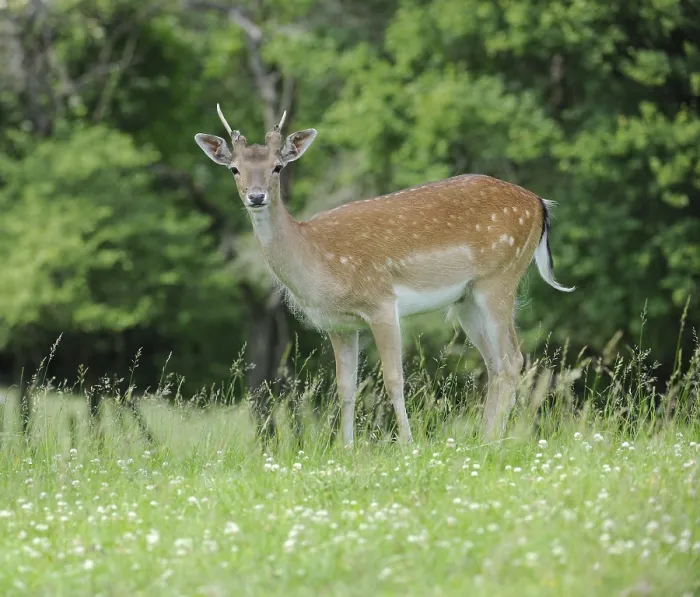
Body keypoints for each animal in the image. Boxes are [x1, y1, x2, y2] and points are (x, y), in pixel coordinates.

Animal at [194, 105, 574, 447]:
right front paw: (346, 450)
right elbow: (345, 387)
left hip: (500, 277)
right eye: (234, 169)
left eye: (277, 166)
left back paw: (493, 442)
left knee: (512, 359)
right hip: (467, 299)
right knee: (495, 364)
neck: (318, 260)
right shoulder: (339, 324)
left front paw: (407, 446)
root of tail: (539, 204)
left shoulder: (380, 303)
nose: (256, 197)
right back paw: (483, 440)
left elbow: (393, 379)